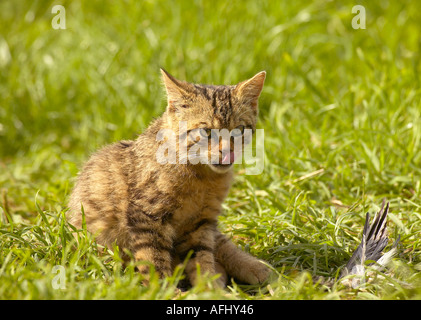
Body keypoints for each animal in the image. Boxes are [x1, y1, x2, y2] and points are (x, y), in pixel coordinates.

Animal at [66, 69, 270, 286]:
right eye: (206, 131)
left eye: (239, 130)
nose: (227, 152)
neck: (202, 177)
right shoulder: (147, 218)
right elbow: (153, 259)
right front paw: (164, 289)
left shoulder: (201, 223)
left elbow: (202, 257)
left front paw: (209, 287)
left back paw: (257, 268)